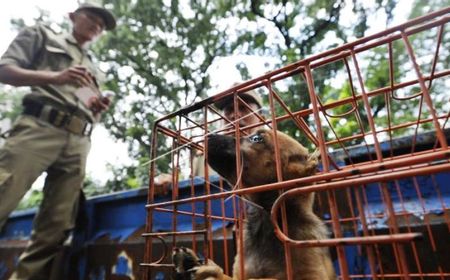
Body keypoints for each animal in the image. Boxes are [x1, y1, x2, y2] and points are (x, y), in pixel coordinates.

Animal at [174, 129, 336, 280]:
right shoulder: (239, 271)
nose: (208, 135)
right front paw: (203, 266)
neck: (266, 220)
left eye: (257, 139)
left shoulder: (312, 274)